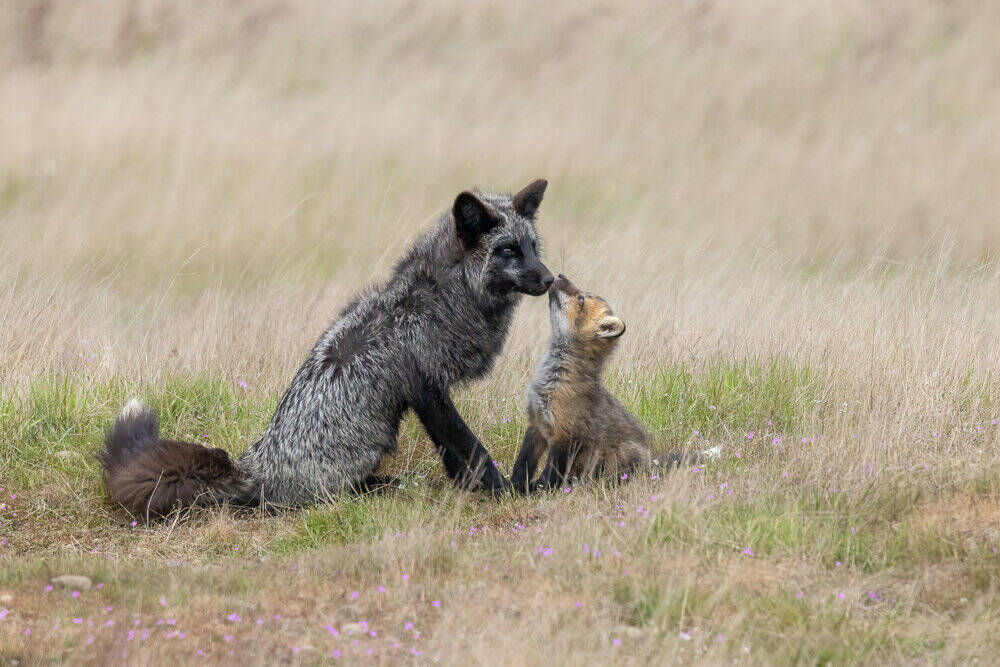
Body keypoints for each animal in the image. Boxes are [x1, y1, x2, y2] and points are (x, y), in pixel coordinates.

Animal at [100, 180, 554, 517]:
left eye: (534, 247)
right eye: (508, 250)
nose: (551, 279)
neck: (442, 298)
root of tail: (253, 469)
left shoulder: (426, 398)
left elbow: (455, 454)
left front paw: (470, 487)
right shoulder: (428, 389)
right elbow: (469, 447)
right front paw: (503, 491)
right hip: (372, 441)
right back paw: (378, 489)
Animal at [511, 275, 679, 493]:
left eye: (581, 299)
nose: (560, 275)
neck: (551, 382)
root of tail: (651, 464)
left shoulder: (566, 436)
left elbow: (550, 474)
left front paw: (536, 491)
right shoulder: (536, 426)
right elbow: (522, 464)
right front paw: (512, 486)